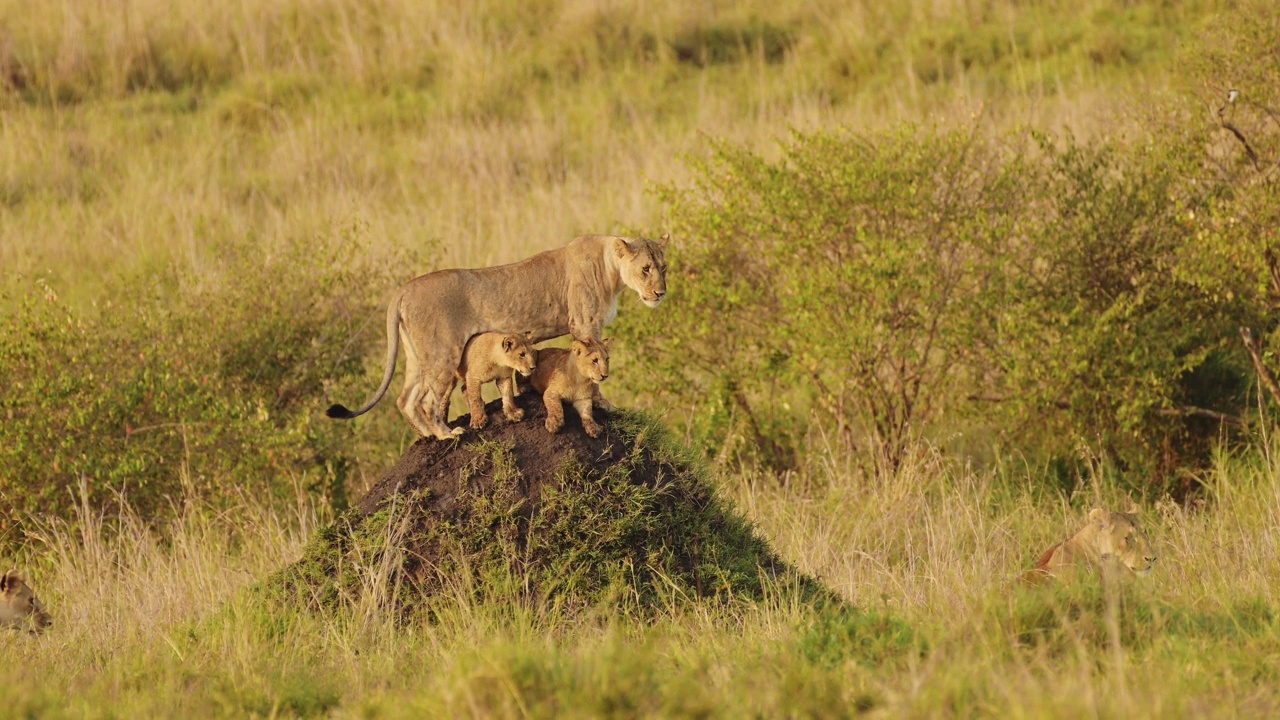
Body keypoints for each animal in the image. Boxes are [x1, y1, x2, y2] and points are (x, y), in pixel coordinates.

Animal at [325, 234, 670, 438]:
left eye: (664, 267)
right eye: (645, 269)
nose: (661, 293)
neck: (611, 270)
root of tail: (404, 289)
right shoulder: (585, 326)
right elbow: (593, 377)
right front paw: (605, 405)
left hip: (417, 358)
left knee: (405, 399)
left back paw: (429, 436)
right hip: (443, 354)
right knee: (429, 401)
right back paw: (447, 434)